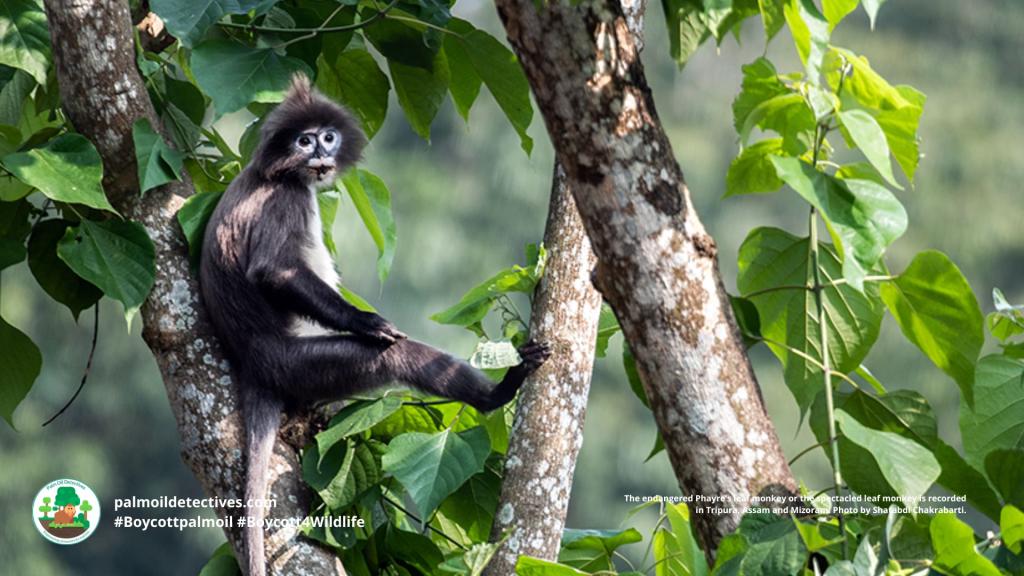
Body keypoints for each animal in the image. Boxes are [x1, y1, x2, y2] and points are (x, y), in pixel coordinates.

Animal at [201, 76, 552, 573]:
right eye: (304, 140)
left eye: (327, 137)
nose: (319, 152)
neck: (278, 174)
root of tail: (253, 362)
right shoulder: (286, 198)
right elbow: (273, 271)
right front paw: (367, 321)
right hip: (299, 365)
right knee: (396, 357)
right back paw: (500, 391)